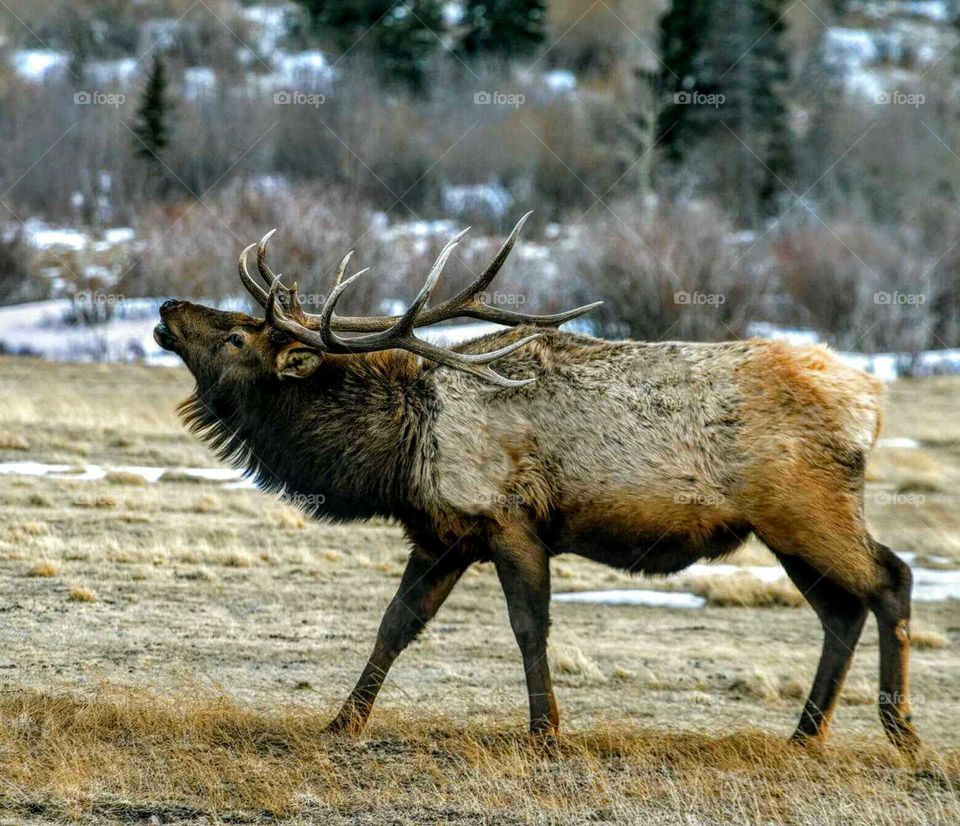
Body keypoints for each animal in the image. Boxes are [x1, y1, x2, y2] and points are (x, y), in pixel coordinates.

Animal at [158, 214, 924, 752]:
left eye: (236, 335)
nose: (166, 310)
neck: (399, 449)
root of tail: (871, 400)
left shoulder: (510, 520)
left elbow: (530, 627)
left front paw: (545, 730)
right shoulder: (441, 536)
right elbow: (395, 625)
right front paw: (341, 723)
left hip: (804, 506)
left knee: (890, 578)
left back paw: (900, 731)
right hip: (786, 530)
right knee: (840, 612)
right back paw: (805, 734)